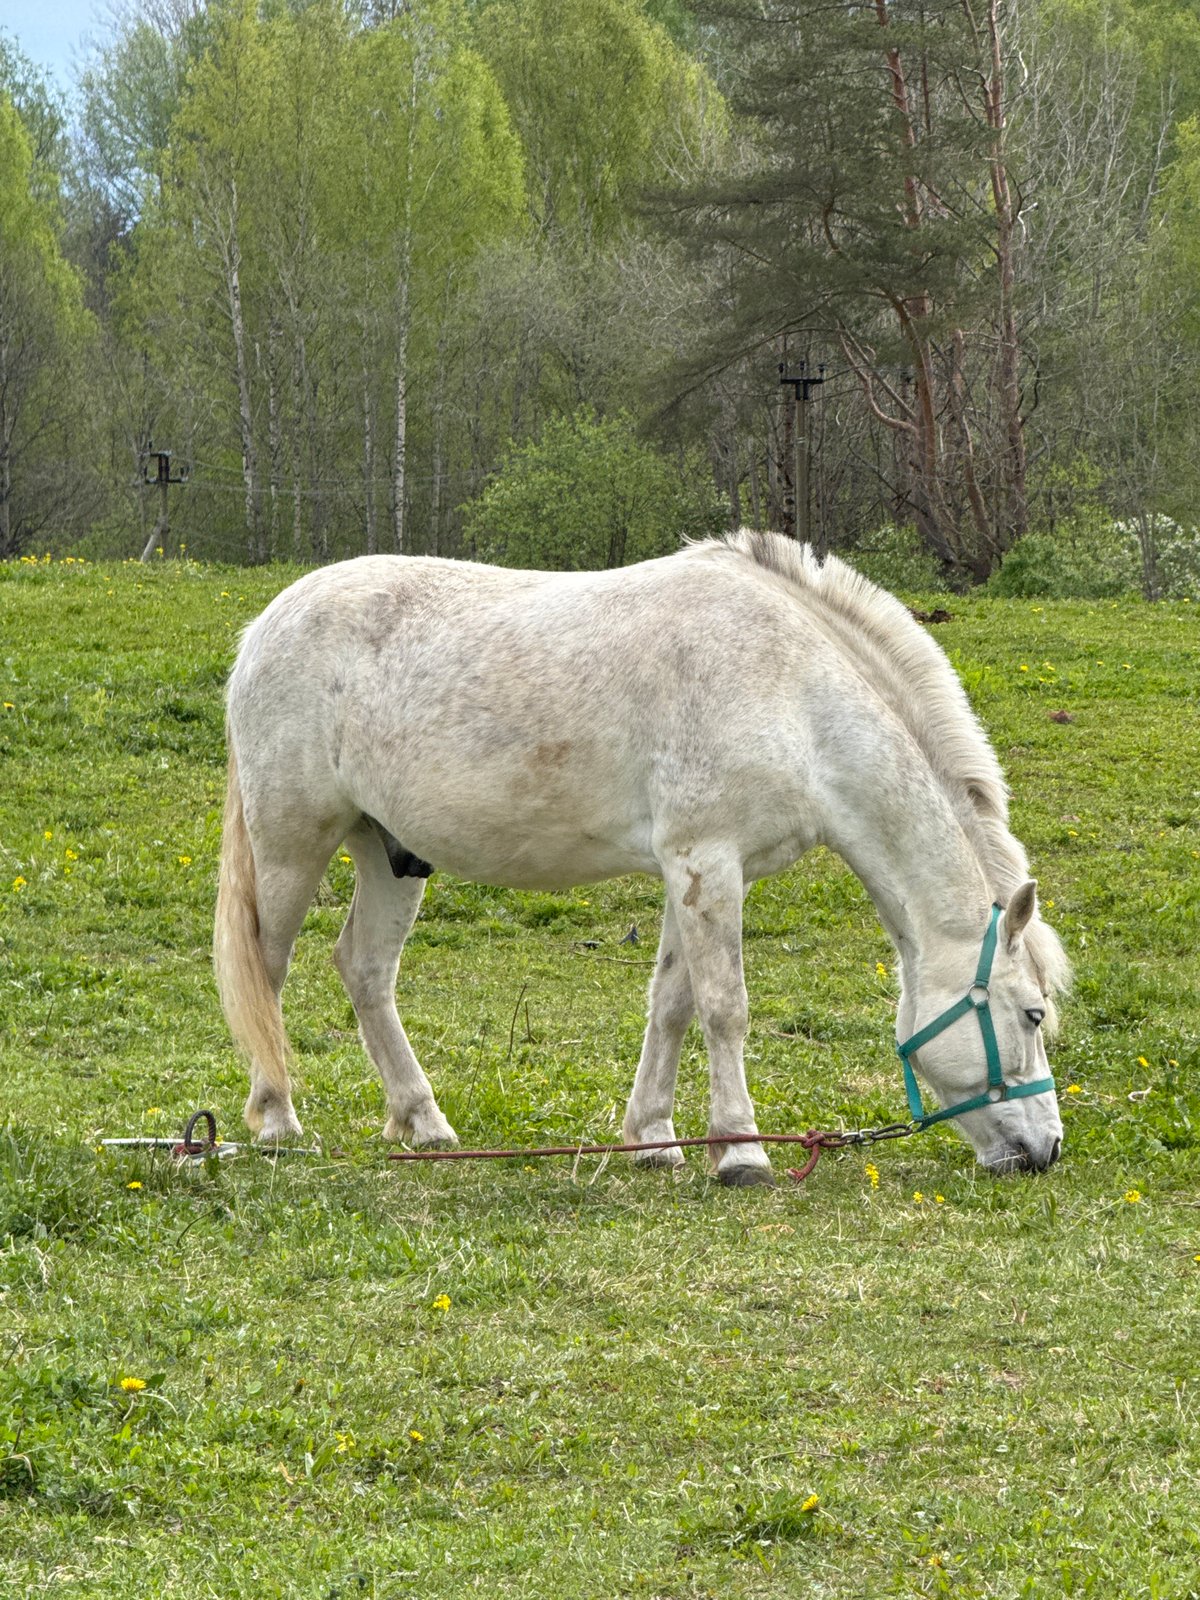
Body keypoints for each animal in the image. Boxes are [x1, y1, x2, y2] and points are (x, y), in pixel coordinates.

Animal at [214, 530, 1069, 1184]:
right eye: (1031, 1013)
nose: (1047, 1149)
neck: (792, 691)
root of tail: (264, 628)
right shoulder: (707, 863)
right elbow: (725, 1007)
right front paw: (743, 1151)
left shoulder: (698, 874)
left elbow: (673, 1003)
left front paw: (655, 1139)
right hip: (293, 843)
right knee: (267, 968)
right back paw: (278, 1121)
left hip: (390, 854)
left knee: (364, 969)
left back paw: (423, 1121)